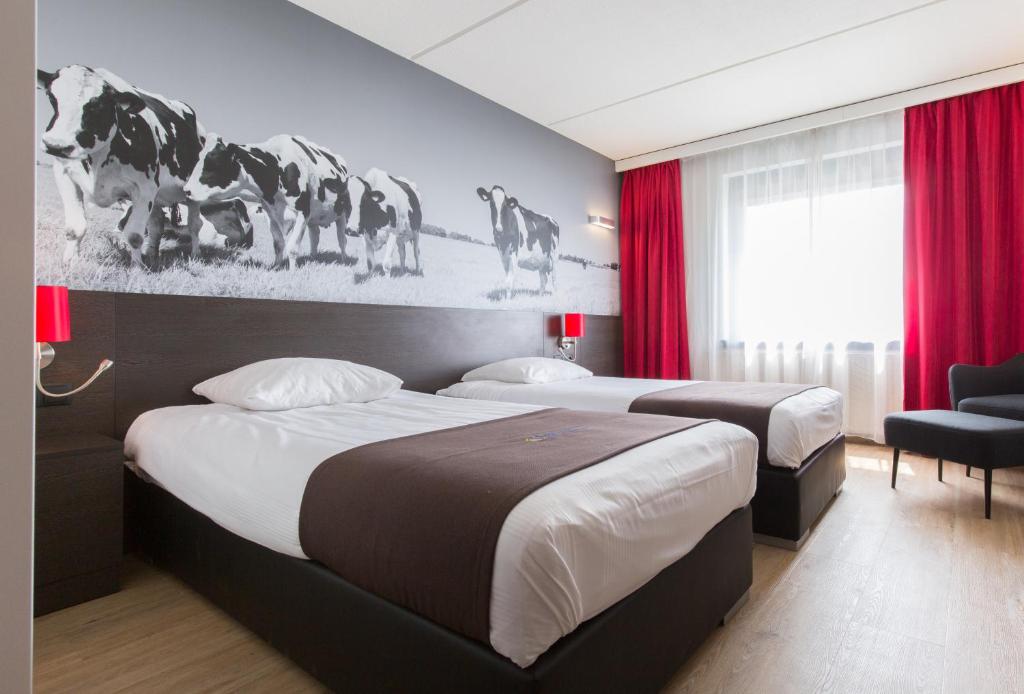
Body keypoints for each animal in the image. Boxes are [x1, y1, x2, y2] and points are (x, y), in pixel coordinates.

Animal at [36, 65, 207, 268]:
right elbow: (74, 227)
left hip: (192, 193)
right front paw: (70, 263)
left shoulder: (144, 188)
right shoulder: (65, 175)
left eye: (98, 106)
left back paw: (195, 255)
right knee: (156, 225)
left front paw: (137, 268)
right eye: (51, 97)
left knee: (194, 225)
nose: (55, 145)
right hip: (157, 196)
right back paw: (151, 254)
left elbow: (134, 235)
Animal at [187, 134, 352, 270]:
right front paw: (276, 266)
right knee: (315, 236)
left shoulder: (302, 211)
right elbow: (278, 243)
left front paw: (292, 272)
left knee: (342, 239)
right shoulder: (270, 212)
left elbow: (292, 247)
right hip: (314, 216)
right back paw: (313, 257)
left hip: (342, 213)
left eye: (214, 162)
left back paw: (344, 260)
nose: (186, 190)